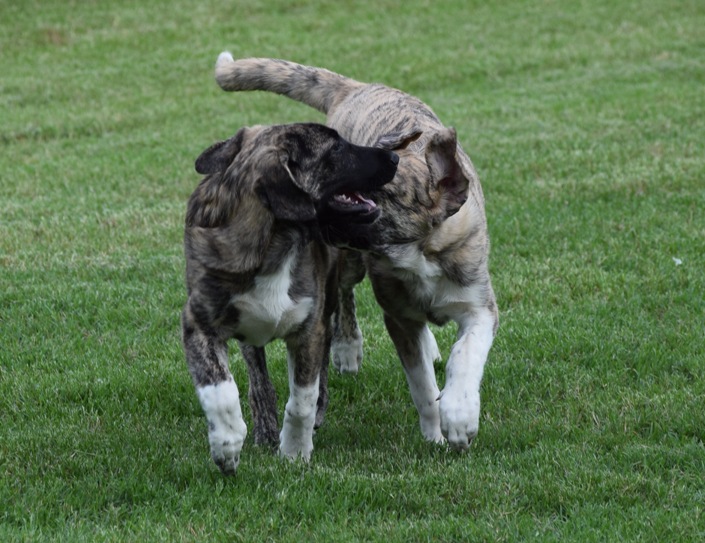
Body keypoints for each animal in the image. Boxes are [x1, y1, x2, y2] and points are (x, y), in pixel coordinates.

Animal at [182, 122, 398, 474]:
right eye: (335, 149)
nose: (394, 157)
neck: (274, 243)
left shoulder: (309, 329)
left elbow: (302, 399)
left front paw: (295, 452)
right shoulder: (198, 324)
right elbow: (220, 389)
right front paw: (227, 443)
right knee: (258, 378)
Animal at [214, 53, 499, 452]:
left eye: (377, 199)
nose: (311, 213)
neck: (420, 251)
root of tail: (355, 88)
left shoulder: (479, 304)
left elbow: (467, 353)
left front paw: (459, 416)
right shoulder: (398, 317)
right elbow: (422, 385)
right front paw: (436, 434)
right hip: (350, 264)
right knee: (345, 295)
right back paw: (348, 349)